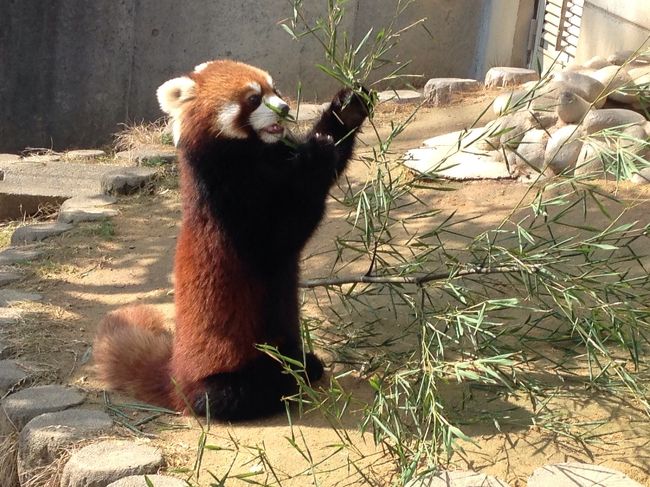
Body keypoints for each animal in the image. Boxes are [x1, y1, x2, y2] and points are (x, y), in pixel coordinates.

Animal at [94, 60, 372, 420]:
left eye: (274, 89)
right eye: (253, 99)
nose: (284, 108)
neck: (252, 154)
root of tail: (176, 377)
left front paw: (347, 108)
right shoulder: (230, 207)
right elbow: (283, 233)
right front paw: (317, 154)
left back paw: (302, 365)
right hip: (222, 369)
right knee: (230, 395)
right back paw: (280, 385)